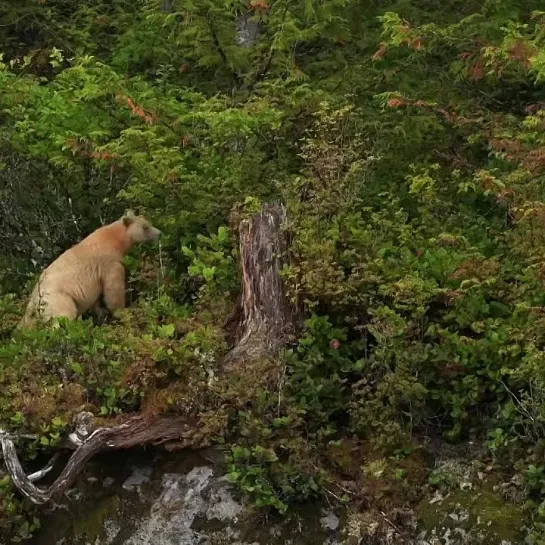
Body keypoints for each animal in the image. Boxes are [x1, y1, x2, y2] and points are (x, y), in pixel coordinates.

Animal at [18, 208, 162, 328]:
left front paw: (101, 313)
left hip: (35, 314)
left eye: (148, 222)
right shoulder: (109, 263)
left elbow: (96, 299)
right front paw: (123, 312)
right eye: (145, 227)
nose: (160, 233)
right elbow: (113, 289)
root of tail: (34, 300)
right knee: (64, 316)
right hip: (58, 300)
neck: (115, 241)